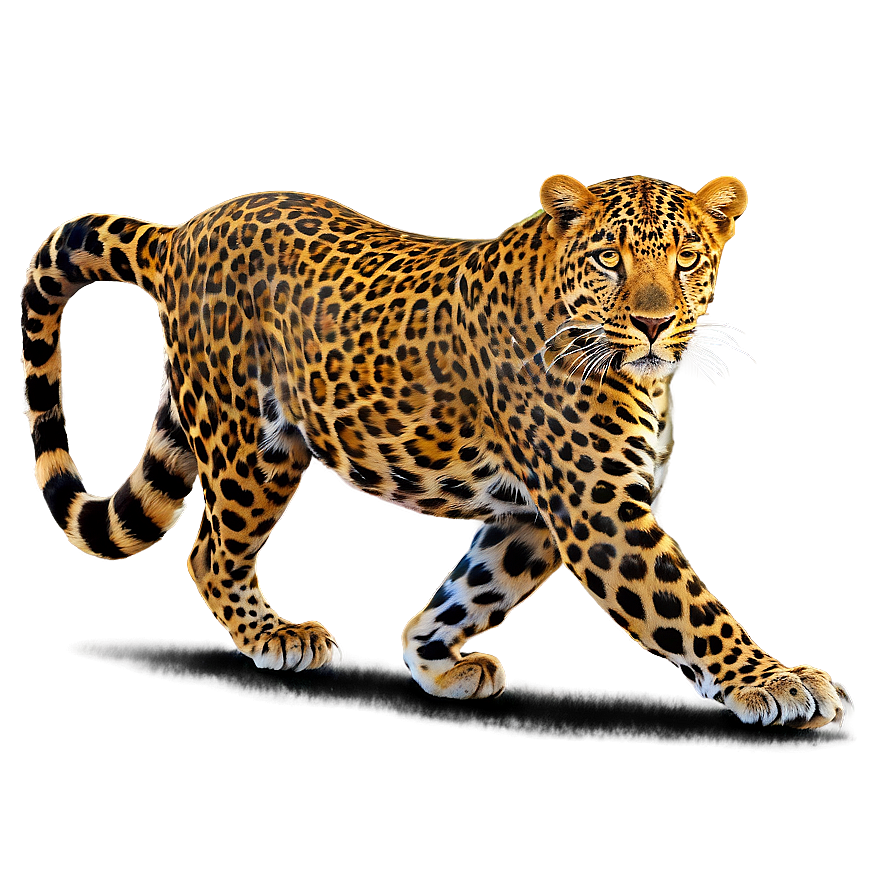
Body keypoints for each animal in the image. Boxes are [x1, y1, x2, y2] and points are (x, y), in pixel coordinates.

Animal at [21, 172, 851, 728]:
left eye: (685, 258)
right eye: (610, 260)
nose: (653, 325)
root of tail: (184, 230)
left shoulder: (528, 519)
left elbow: (474, 588)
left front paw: (432, 659)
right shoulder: (598, 510)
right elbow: (688, 605)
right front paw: (775, 681)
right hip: (253, 442)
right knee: (208, 552)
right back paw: (274, 635)